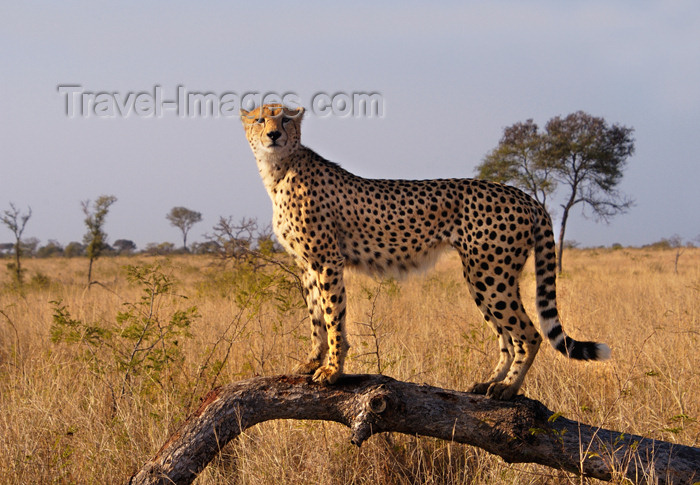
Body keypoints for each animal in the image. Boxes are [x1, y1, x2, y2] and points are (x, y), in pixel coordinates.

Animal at [242, 104, 612, 398]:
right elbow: (316, 318)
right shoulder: (308, 265)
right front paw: (311, 362)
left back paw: (507, 388)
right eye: (260, 119)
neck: (279, 169)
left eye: (286, 119)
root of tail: (520, 193)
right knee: (506, 338)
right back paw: (488, 382)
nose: (273, 135)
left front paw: (333, 370)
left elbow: (334, 318)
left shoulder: (327, 261)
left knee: (529, 334)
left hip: (490, 275)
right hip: (481, 278)